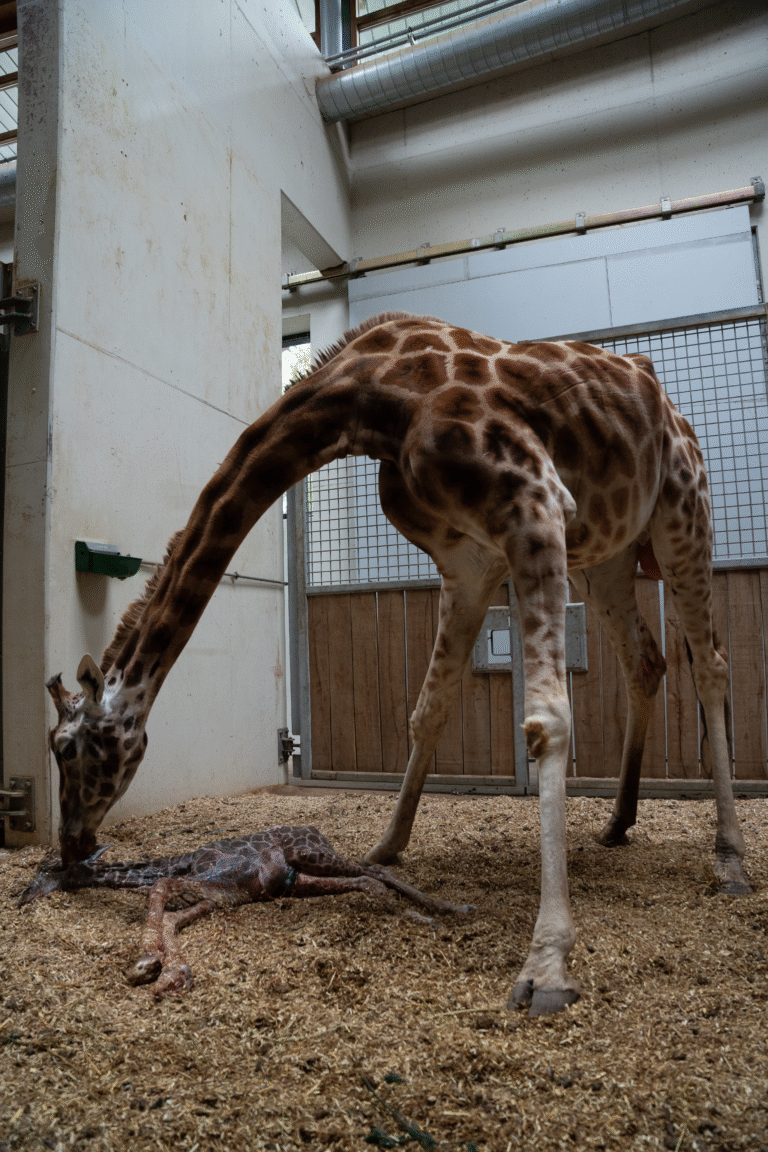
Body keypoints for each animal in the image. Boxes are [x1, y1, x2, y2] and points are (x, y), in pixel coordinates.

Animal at [19, 825, 471, 997]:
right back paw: (444, 909)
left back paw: (440, 910)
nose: (20, 898)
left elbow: (160, 890)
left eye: (44, 870)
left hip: (313, 855)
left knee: (375, 870)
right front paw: (170, 970)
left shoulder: (217, 884)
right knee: (367, 878)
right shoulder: (217, 898)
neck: (183, 862)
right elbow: (169, 918)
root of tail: (317, 830)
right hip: (299, 879)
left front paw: (150, 963)